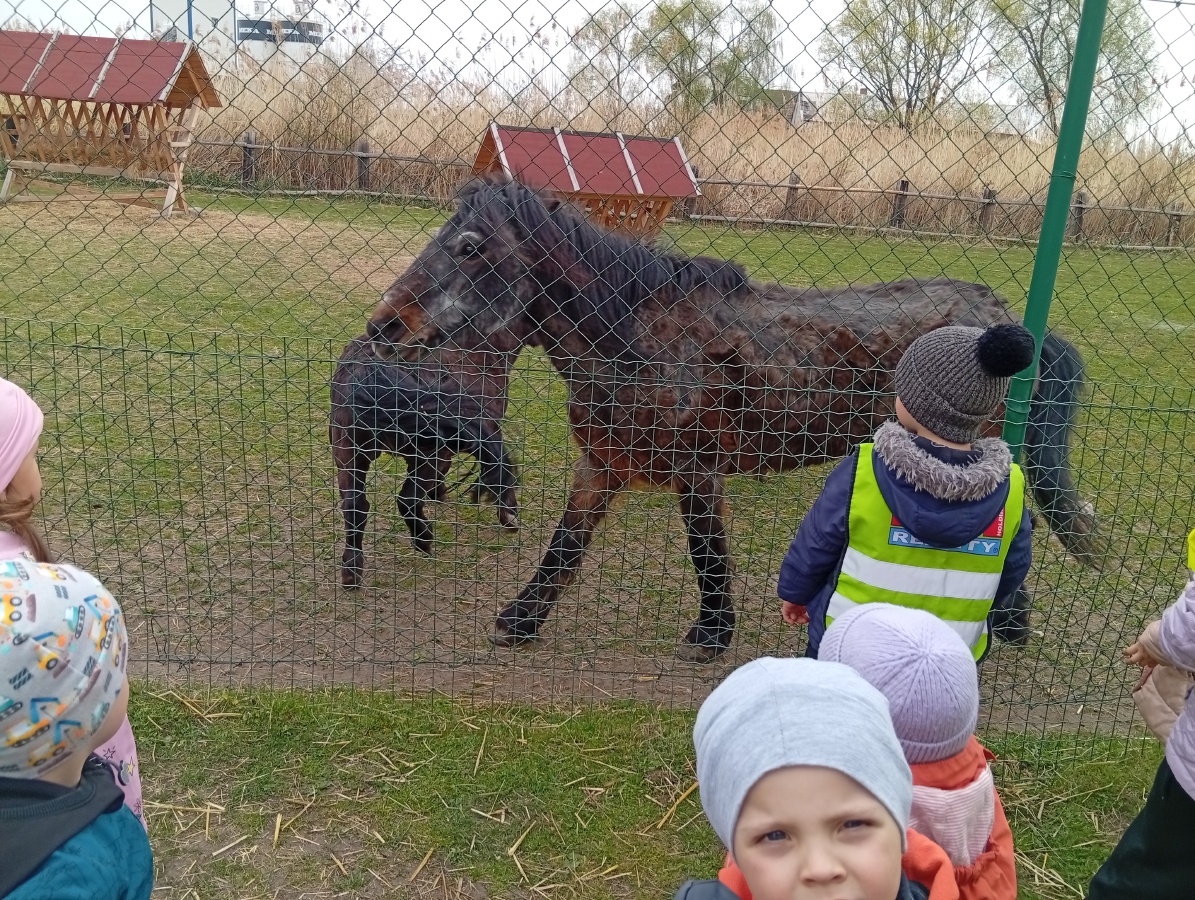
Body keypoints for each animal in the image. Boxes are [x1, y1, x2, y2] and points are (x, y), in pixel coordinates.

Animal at [330, 335, 520, 587]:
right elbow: (498, 473)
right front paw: (509, 515)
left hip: (349, 455)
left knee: (355, 507)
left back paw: (351, 571)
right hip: (422, 454)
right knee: (406, 500)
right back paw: (423, 539)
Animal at [365, 178, 1100, 661]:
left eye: (468, 246)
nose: (383, 327)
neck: (639, 341)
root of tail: (1007, 322)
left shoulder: (697, 471)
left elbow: (707, 552)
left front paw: (711, 635)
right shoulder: (601, 465)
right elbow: (565, 547)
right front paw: (521, 619)